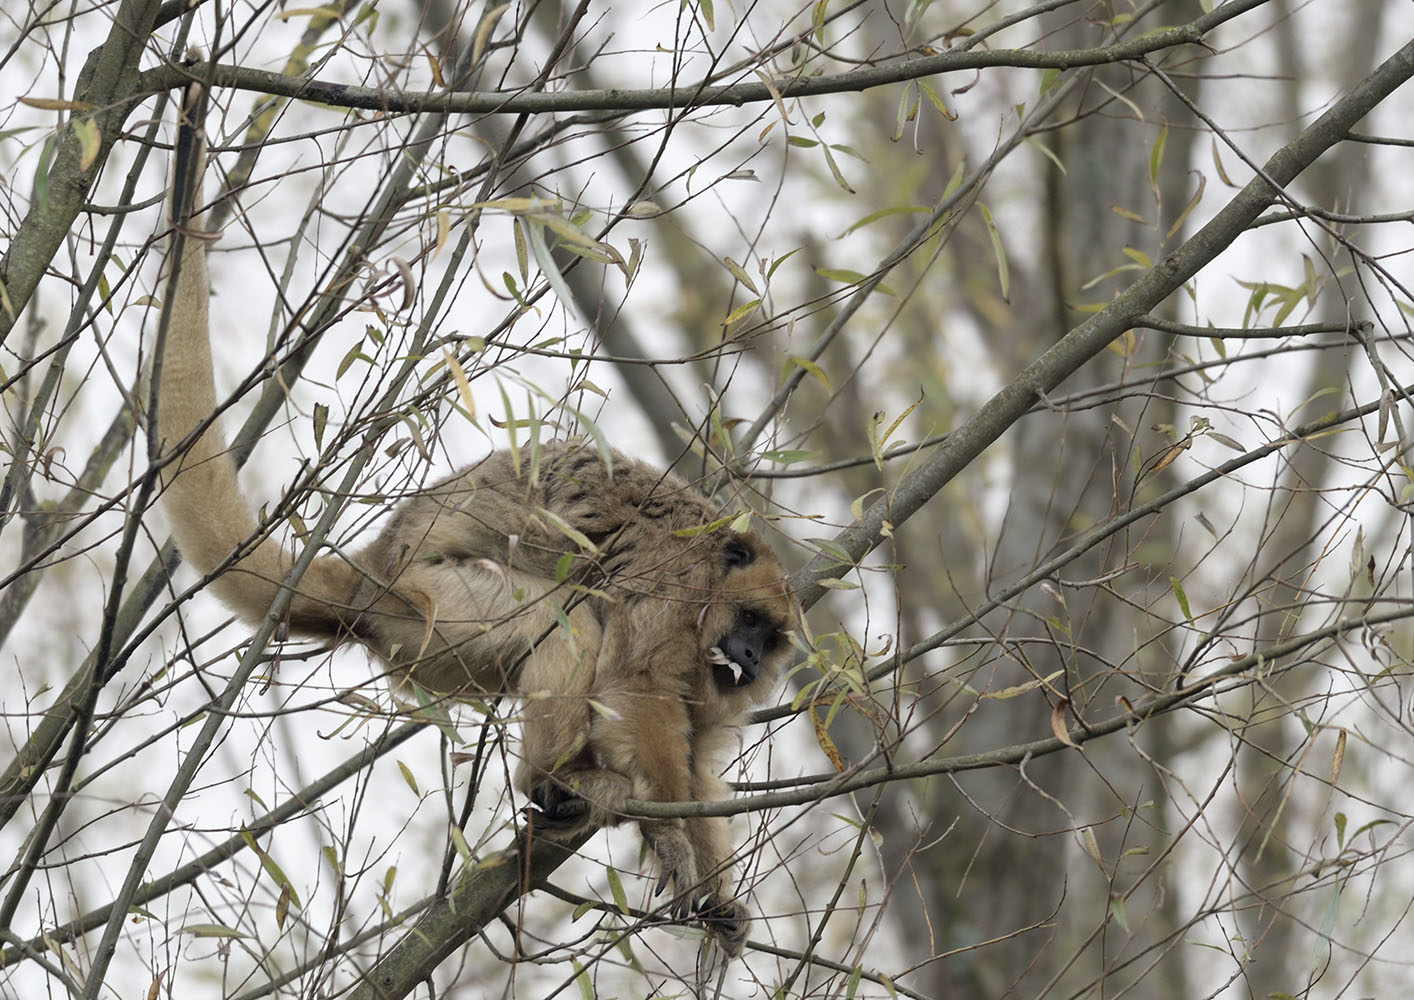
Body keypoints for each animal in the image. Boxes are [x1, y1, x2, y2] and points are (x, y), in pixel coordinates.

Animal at [153, 85, 795, 955]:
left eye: (773, 638)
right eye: (750, 621)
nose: (751, 657)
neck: (710, 586)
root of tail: (375, 571)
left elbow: (699, 769)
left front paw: (718, 900)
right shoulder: (676, 586)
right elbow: (634, 689)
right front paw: (674, 848)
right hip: (435, 614)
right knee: (569, 618)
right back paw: (554, 783)